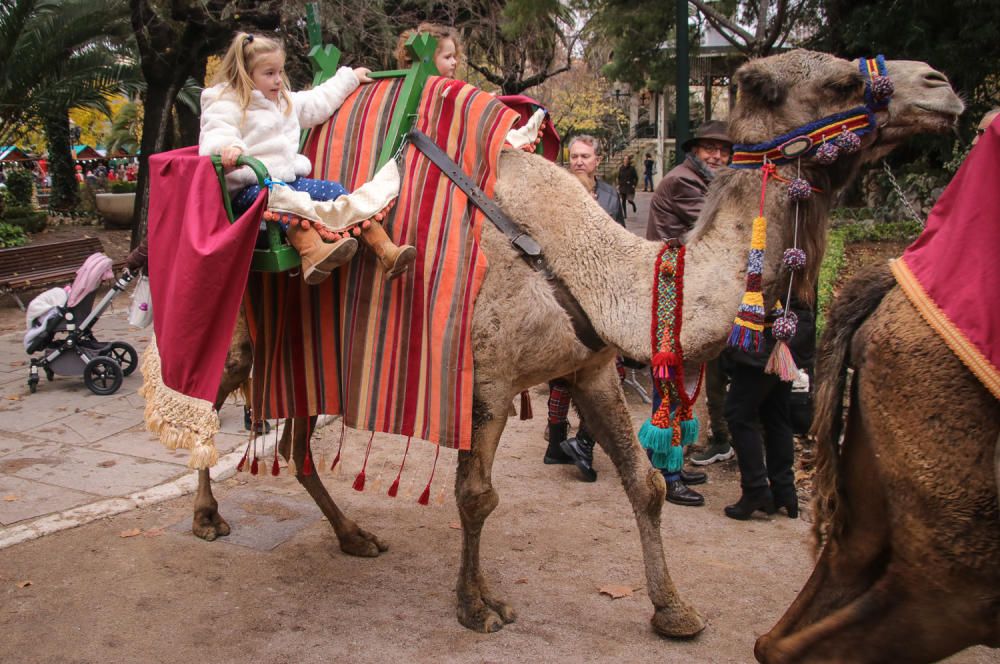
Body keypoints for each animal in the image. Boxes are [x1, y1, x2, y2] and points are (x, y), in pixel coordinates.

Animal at [168, 49, 964, 640]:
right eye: (837, 81)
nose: (944, 85)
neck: (583, 260)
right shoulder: (485, 381)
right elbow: (477, 497)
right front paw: (478, 606)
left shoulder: (592, 367)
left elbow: (645, 484)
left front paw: (674, 610)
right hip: (247, 322)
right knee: (213, 388)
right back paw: (208, 518)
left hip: (311, 351)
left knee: (297, 441)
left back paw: (353, 535)